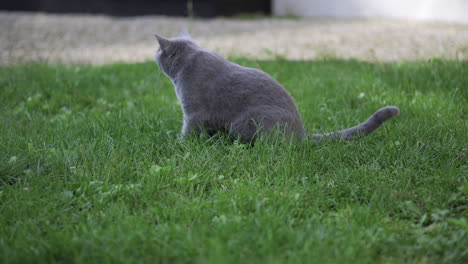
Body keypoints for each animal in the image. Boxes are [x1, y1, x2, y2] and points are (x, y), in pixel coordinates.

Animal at [155, 33, 400, 143]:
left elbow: (188, 131)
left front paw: (179, 145)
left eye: (158, 52)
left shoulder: (193, 113)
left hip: (247, 121)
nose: (155, 55)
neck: (187, 62)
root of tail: (301, 133)